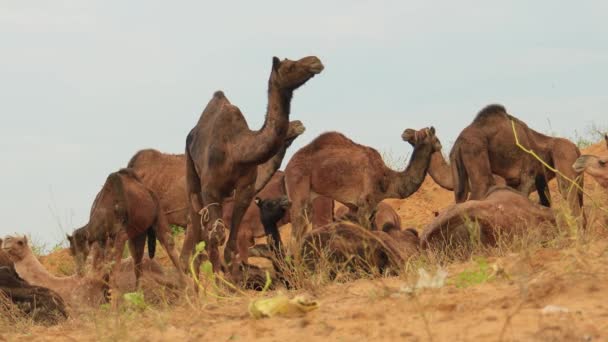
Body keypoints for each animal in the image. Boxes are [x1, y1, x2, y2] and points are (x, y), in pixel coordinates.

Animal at [180, 55, 324, 276]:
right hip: (192, 176)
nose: (315, 61)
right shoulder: (210, 189)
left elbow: (230, 246)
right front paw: (219, 281)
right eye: (289, 66)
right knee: (197, 229)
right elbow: (217, 237)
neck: (238, 150)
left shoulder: (245, 190)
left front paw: (233, 278)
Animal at [282, 127, 440, 242]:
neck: (388, 180)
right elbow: (370, 234)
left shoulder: (368, 208)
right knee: (295, 233)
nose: (440, 145)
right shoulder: (366, 205)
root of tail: (289, 165)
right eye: (436, 138)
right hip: (297, 184)